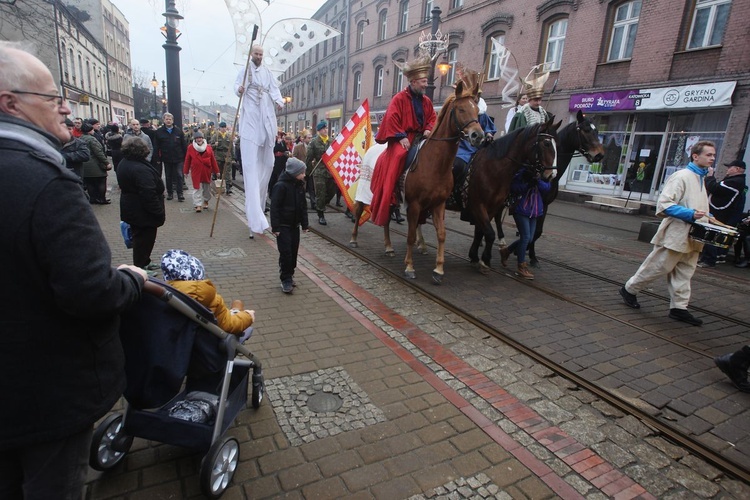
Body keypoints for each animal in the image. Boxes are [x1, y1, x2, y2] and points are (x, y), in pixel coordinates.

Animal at [468, 119, 560, 272]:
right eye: (546, 143)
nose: (551, 175)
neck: (493, 168)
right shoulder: (478, 203)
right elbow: (489, 233)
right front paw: (485, 259)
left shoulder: (491, 206)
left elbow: (482, 231)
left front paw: (476, 256)